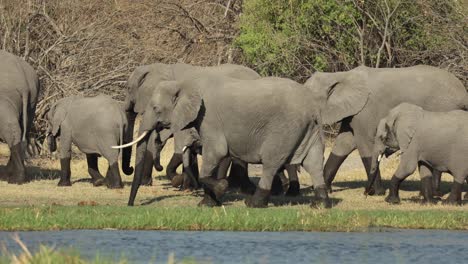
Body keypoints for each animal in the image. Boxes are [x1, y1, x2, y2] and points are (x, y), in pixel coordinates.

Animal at [117, 76, 330, 208]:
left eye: (156, 108)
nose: (131, 206)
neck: (185, 83)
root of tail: (312, 107)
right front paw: (207, 204)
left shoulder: (208, 118)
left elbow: (216, 155)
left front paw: (220, 188)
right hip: (311, 129)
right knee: (314, 163)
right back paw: (321, 204)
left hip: (284, 129)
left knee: (271, 163)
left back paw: (254, 204)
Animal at [306, 64, 466, 196]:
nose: (366, 192)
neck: (339, 76)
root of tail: (463, 92)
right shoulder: (353, 112)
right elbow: (343, 144)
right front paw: (325, 189)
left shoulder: (365, 111)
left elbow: (365, 146)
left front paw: (378, 193)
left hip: (443, 108)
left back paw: (433, 194)